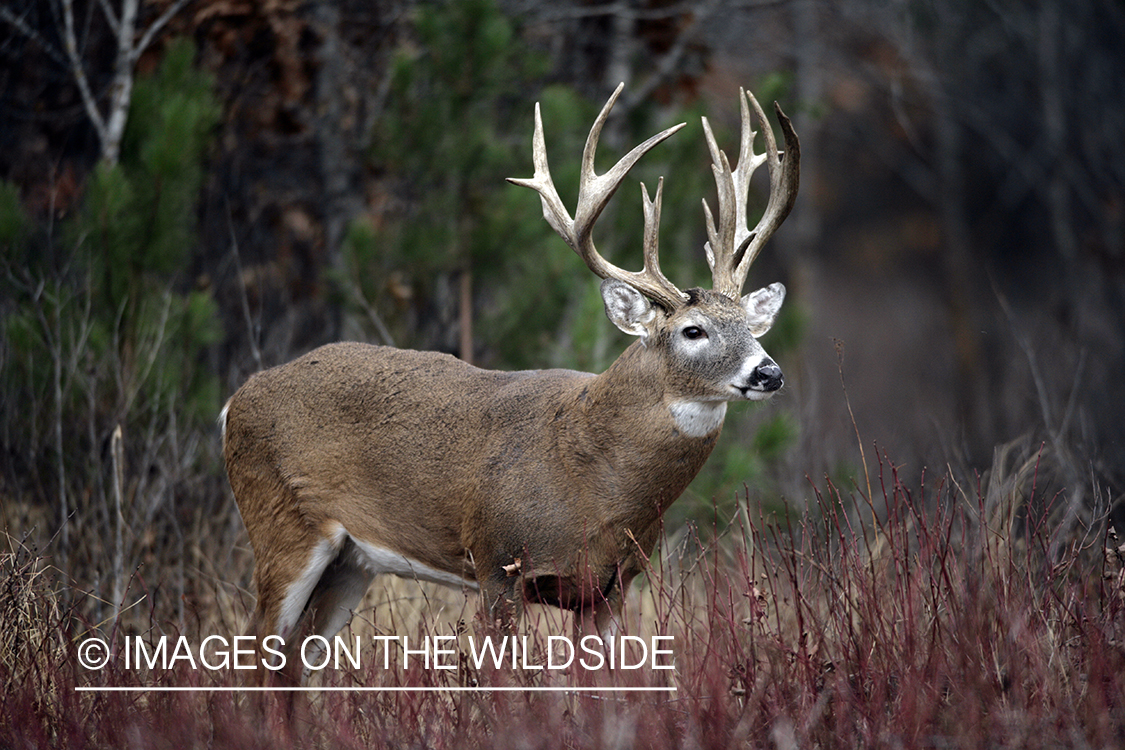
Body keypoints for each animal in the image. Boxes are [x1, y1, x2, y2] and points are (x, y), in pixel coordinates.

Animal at [221, 82, 801, 674]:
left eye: (750, 327)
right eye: (692, 330)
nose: (769, 371)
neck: (596, 480)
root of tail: (236, 400)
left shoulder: (610, 587)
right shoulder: (498, 560)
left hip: (353, 560)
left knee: (295, 656)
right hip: (281, 522)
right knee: (256, 644)